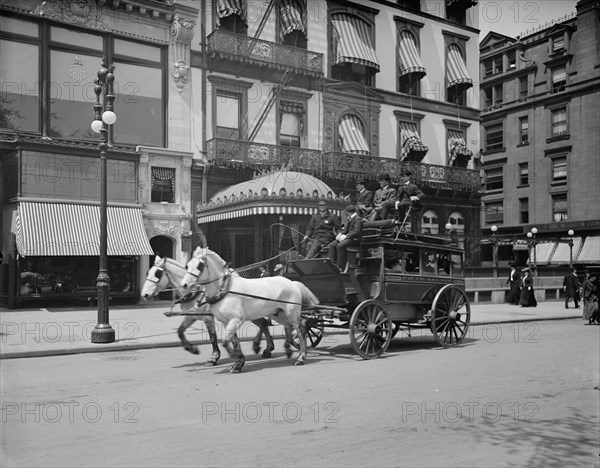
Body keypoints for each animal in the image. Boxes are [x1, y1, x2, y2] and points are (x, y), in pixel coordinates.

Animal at [141, 256, 274, 366]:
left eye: (157, 273)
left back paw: (261, 347)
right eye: (148, 272)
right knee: (264, 323)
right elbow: (180, 331)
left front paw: (214, 358)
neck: (194, 293)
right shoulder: (191, 316)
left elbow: (212, 337)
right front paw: (192, 349)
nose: (145, 294)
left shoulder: (207, 317)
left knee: (263, 323)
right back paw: (266, 348)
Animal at [180, 249, 318, 372]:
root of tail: (293, 283)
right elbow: (233, 341)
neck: (225, 289)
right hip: (277, 314)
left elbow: (224, 341)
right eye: (187, 265)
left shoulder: (236, 320)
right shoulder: (227, 321)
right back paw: (289, 349)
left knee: (301, 330)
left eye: (199, 265)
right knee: (292, 326)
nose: (184, 285)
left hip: (291, 313)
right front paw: (237, 363)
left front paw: (234, 357)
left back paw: (300, 357)